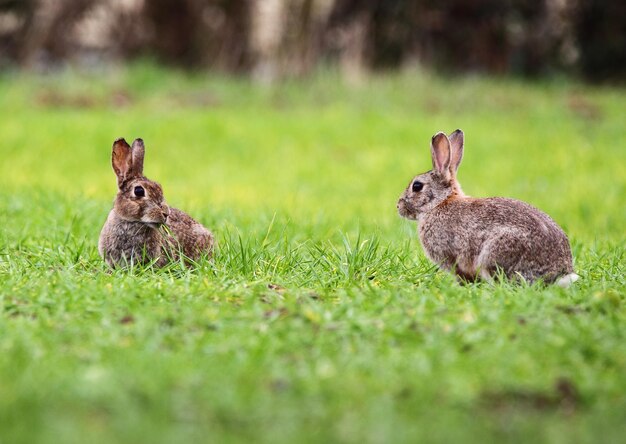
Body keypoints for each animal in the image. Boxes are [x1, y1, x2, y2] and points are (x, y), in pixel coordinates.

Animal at [398, 128, 576, 288]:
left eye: (417, 186)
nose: (398, 206)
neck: (440, 203)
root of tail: (559, 275)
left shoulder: (452, 256)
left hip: (495, 254)